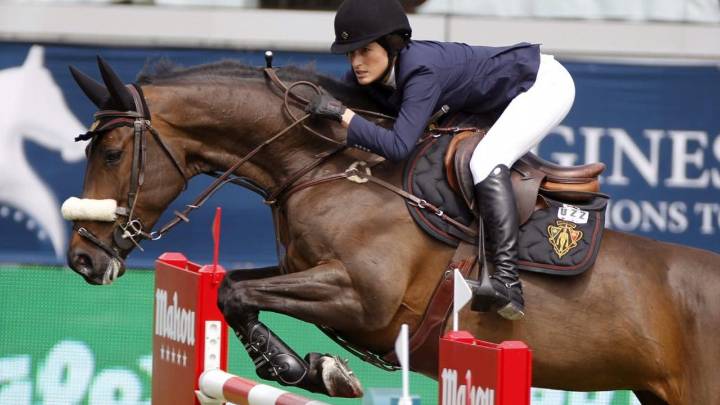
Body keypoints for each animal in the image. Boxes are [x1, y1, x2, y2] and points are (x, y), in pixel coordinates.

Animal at [64, 57, 720, 405]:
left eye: (113, 152)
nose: (81, 262)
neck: (327, 166)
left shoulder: (364, 298)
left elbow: (236, 291)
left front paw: (308, 369)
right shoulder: (310, 272)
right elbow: (236, 288)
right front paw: (313, 369)